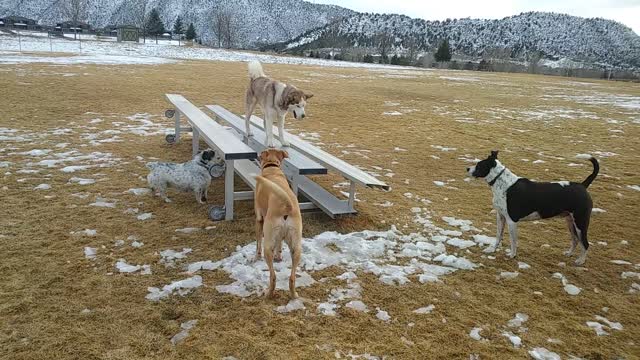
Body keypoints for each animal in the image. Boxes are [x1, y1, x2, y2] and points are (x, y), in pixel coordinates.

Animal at [254, 148, 304, 298]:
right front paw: (279, 256)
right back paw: (294, 294)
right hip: (296, 247)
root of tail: (287, 206)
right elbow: (279, 244)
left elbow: (257, 242)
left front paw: (256, 257)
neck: (272, 168)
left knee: (273, 276)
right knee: (292, 277)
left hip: (268, 242)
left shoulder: (259, 219)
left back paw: (269, 293)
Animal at [464, 150, 600, 266]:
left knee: (585, 243)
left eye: (479, 165)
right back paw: (569, 253)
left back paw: (580, 261)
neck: (502, 183)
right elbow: (498, 236)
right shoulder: (500, 216)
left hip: (581, 222)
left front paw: (512, 255)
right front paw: (492, 250)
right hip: (570, 221)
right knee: (575, 240)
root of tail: (583, 185)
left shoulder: (511, 220)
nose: (467, 168)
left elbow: (513, 241)